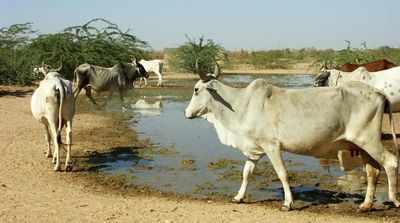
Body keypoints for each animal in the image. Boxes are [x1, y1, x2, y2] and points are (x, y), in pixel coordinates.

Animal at [186, 74, 398, 211]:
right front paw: (238, 197)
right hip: (362, 146)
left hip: (369, 141)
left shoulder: (272, 146)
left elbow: (282, 174)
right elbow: (246, 173)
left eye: (196, 90)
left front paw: (288, 203)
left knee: (391, 162)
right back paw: (366, 205)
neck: (240, 105)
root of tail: (379, 93)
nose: (186, 113)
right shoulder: (255, 150)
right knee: (372, 172)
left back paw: (394, 200)